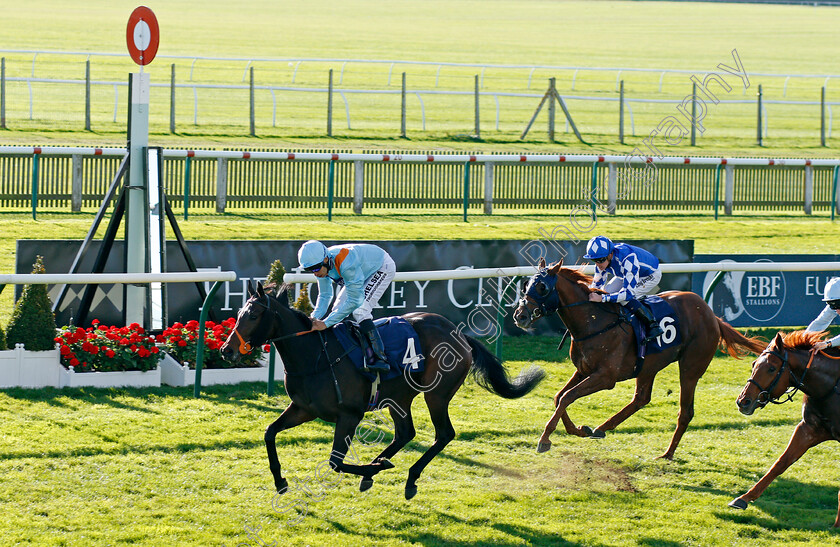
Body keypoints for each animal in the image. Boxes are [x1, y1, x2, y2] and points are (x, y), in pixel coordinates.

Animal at [218, 284, 544, 504]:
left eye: (254, 314)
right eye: (239, 313)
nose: (226, 350)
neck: (315, 357)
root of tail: (459, 333)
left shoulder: (349, 415)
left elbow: (335, 462)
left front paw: (375, 466)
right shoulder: (303, 409)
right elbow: (270, 433)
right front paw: (280, 481)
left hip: (436, 394)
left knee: (444, 434)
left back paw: (406, 477)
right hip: (399, 397)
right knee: (406, 432)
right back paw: (377, 471)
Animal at [508, 260, 764, 458]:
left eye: (542, 287)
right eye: (526, 285)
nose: (520, 316)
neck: (594, 321)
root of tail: (712, 315)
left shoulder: (605, 377)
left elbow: (567, 397)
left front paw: (544, 439)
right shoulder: (583, 370)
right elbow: (559, 397)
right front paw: (579, 429)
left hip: (691, 367)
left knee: (685, 411)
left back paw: (667, 454)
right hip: (648, 365)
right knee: (641, 398)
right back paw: (602, 428)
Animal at [728, 330, 840, 528]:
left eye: (772, 369)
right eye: (754, 364)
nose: (743, 401)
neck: (830, 387)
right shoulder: (808, 429)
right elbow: (781, 462)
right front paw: (743, 499)